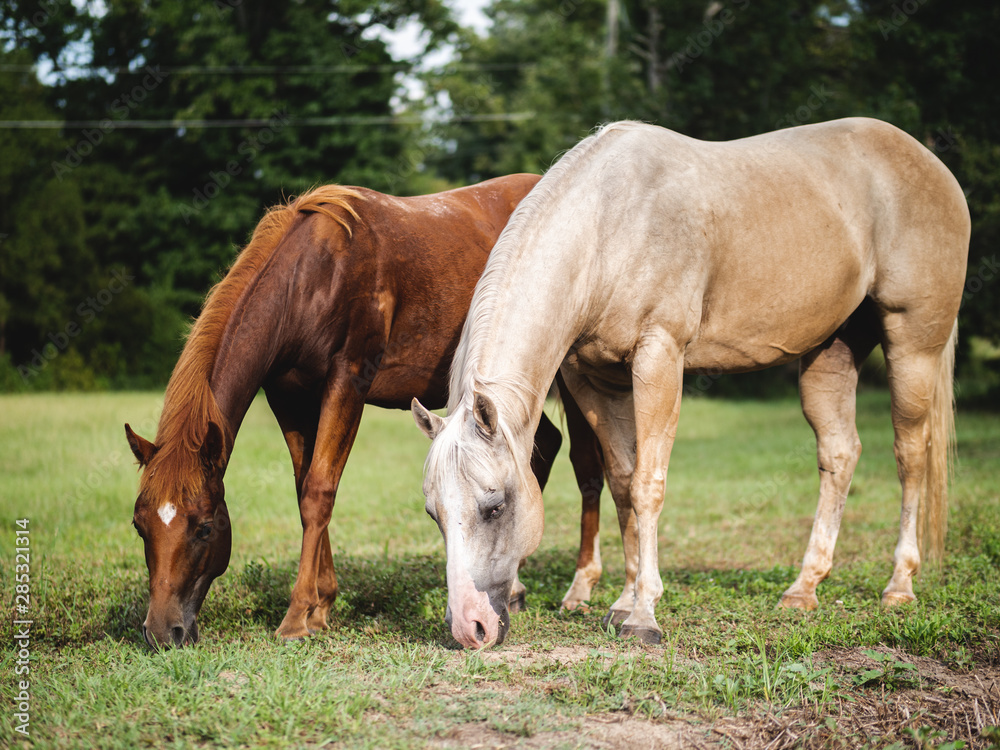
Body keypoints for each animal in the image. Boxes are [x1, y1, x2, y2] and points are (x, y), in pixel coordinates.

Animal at [124, 175, 608, 649]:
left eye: (204, 527)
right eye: (139, 525)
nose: (162, 631)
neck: (312, 276)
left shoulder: (348, 381)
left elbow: (320, 490)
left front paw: (298, 616)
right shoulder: (288, 397)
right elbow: (304, 488)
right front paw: (322, 605)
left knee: (585, 465)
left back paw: (578, 587)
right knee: (544, 445)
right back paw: (517, 587)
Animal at [412, 117, 970, 649]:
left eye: (495, 506)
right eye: (433, 514)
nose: (470, 628)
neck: (610, 225)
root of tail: (933, 165)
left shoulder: (660, 357)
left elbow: (648, 484)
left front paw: (643, 615)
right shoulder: (594, 379)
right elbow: (622, 482)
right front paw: (622, 602)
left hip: (912, 344)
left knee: (910, 453)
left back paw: (899, 585)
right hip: (832, 349)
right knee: (839, 453)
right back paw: (803, 588)